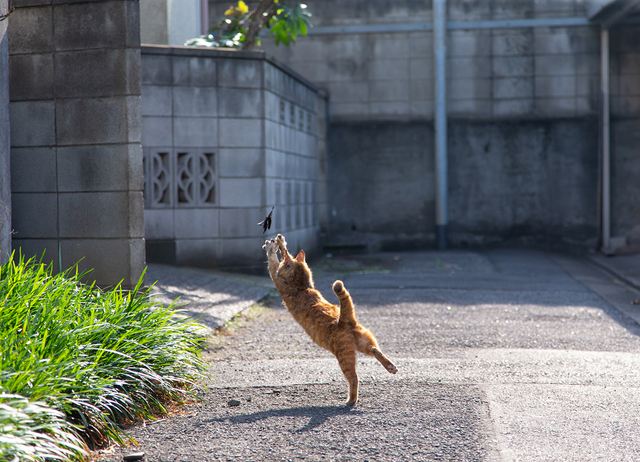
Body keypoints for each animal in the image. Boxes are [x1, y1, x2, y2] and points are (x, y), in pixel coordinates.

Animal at [262, 235, 398, 404]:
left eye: (285, 262)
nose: (278, 238)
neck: (303, 287)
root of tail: (343, 320)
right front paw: (280, 243)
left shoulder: (276, 277)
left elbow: (272, 262)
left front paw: (273, 247)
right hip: (364, 341)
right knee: (375, 349)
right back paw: (390, 366)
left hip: (344, 357)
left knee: (354, 378)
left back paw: (350, 400)